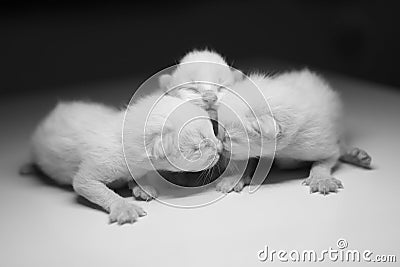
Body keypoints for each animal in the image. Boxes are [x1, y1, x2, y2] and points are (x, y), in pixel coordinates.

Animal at [28, 93, 222, 224]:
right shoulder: (97, 165)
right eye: (199, 147)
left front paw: (142, 188)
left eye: (213, 131)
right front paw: (125, 208)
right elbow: (86, 184)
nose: (220, 148)